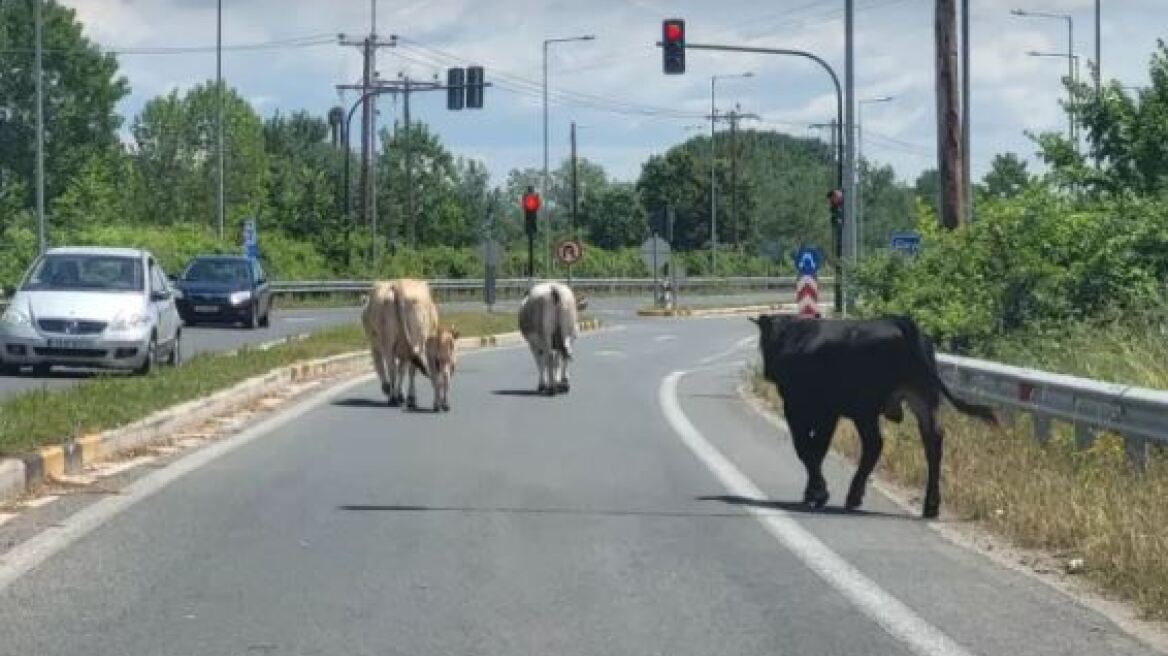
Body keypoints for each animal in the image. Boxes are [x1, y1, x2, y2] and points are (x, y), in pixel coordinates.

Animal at [747, 310, 995, 515]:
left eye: (763, 340)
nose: (767, 372)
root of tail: (899, 322)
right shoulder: (826, 414)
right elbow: (817, 450)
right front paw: (814, 492)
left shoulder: (801, 408)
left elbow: (807, 450)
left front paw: (817, 493)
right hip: (924, 399)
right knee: (932, 445)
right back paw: (930, 506)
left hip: (865, 409)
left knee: (874, 444)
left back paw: (854, 495)